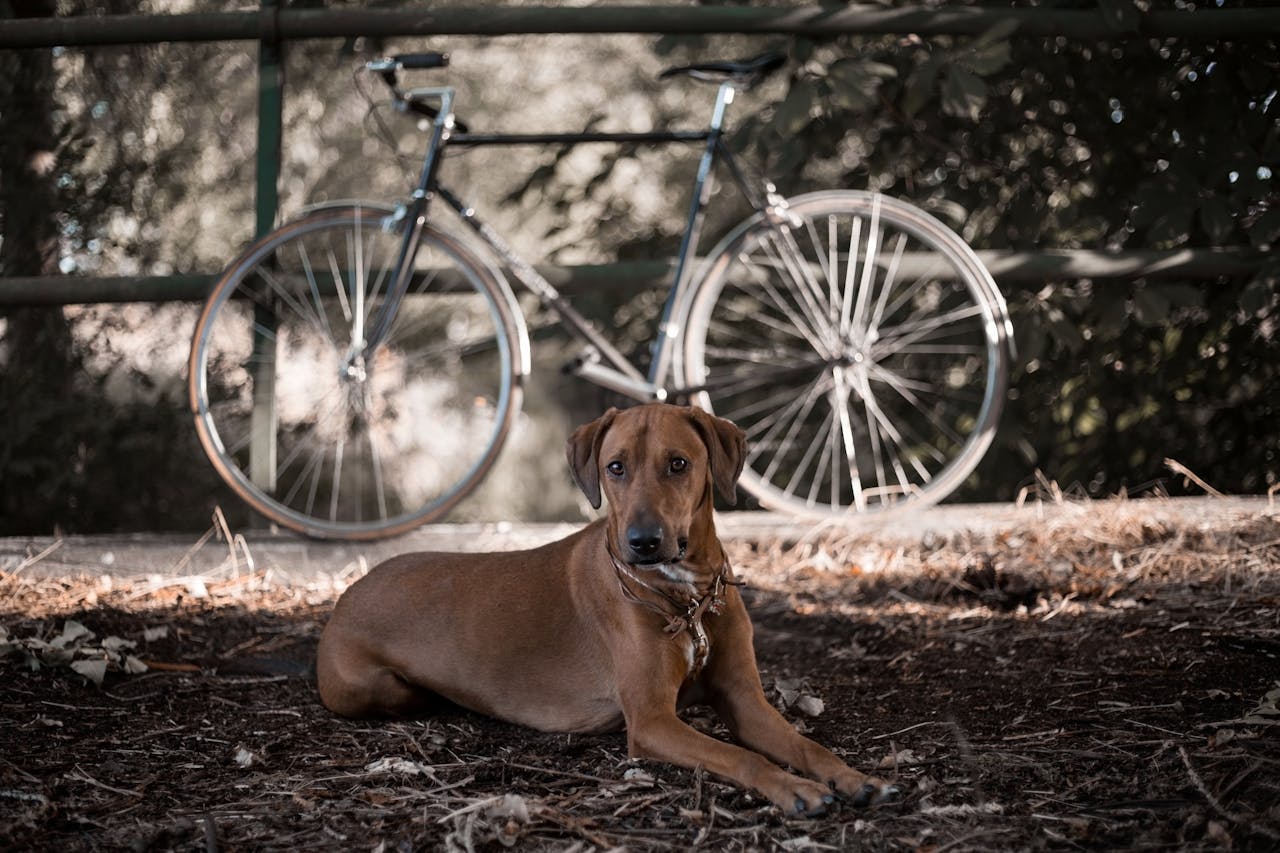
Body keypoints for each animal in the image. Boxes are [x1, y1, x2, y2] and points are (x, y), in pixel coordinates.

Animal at [314, 402, 896, 814]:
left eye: (678, 464)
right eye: (615, 467)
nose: (643, 542)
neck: (687, 598)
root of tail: (349, 591)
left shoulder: (745, 700)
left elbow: (806, 745)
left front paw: (852, 778)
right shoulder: (652, 722)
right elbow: (739, 755)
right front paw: (792, 789)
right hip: (370, 687)